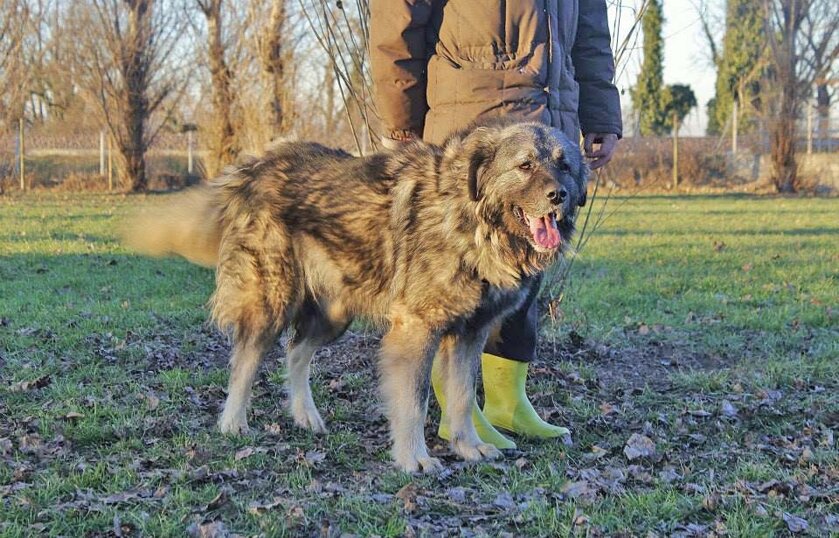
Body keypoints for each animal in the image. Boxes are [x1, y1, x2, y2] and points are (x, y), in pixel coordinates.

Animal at [125, 119, 588, 472]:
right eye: (525, 165)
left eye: (564, 166)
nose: (558, 195)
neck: (471, 218)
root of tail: (253, 167)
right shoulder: (417, 330)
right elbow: (416, 401)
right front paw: (414, 458)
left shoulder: (468, 334)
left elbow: (460, 397)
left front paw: (468, 446)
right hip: (272, 299)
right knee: (246, 361)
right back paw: (233, 423)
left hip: (334, 314)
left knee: (295, 352)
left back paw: (305, 415)